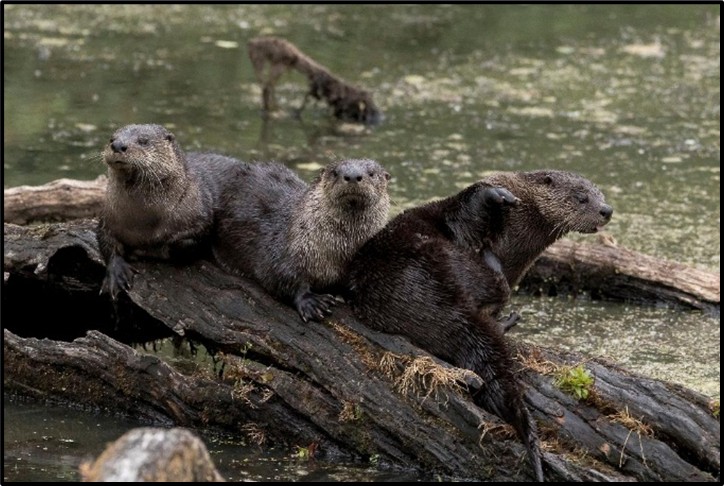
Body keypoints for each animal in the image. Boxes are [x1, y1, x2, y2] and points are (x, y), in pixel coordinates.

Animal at [97, 124, 241, 299]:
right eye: (111, 139)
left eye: (143, 141)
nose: (117, 145)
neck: (143, 221)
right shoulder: (108, 217)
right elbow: (105, 240)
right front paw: (116, 272)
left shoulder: (200, 219)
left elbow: (186, 243)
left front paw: (150, 250)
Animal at [213, 158, 390, 322]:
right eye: (334, 172)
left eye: (372, 174)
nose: (352, 176)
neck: (338, 252)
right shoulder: (286, 248)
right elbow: (281, 276)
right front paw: (311, 302)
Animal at [348, 170, 613, 481]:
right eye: (581, 197)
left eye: (601, 194)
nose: (606, 210)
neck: (512, 247)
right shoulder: (456, 218)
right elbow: (465, 208)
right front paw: (497, 196)